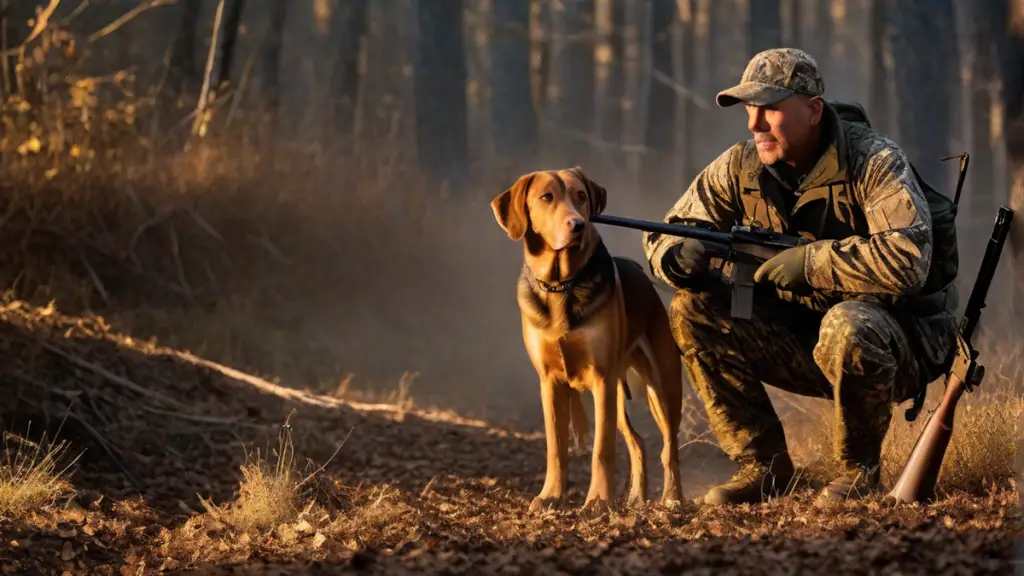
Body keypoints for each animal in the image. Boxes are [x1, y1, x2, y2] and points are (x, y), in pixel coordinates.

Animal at [491, 166, 684, 510]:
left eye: (580, 196)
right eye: (546, 197)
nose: (578, 225)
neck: (562, 285)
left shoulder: (602, 377)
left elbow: (602, 448)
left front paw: (598, 500)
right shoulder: (550, 382)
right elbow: (556, 446)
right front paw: (550, 495)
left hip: (662, 386)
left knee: (669, 446)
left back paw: (672, 497)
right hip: (619, 392)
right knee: (637, 442)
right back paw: (637, 497)